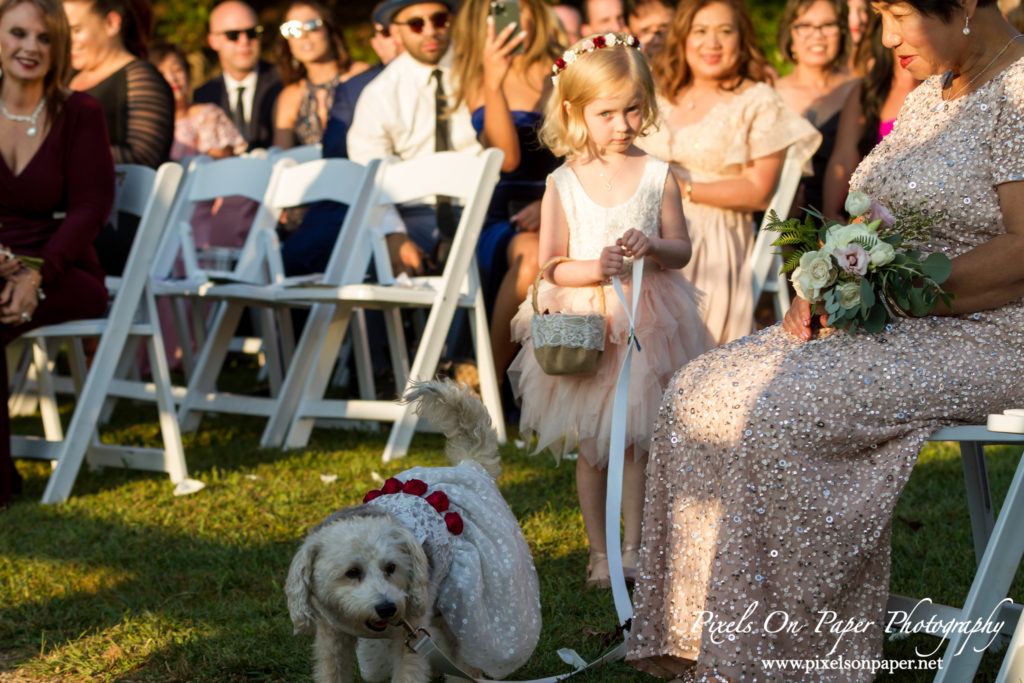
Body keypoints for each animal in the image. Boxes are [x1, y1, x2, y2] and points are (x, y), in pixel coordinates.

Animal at [286, 378, 544, 683]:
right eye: (352, 572)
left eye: (391, 567)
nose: (388, 608)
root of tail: (472, 465)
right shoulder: (332, 640)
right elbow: (332, 671)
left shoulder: (411, 638)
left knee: (465, 659)